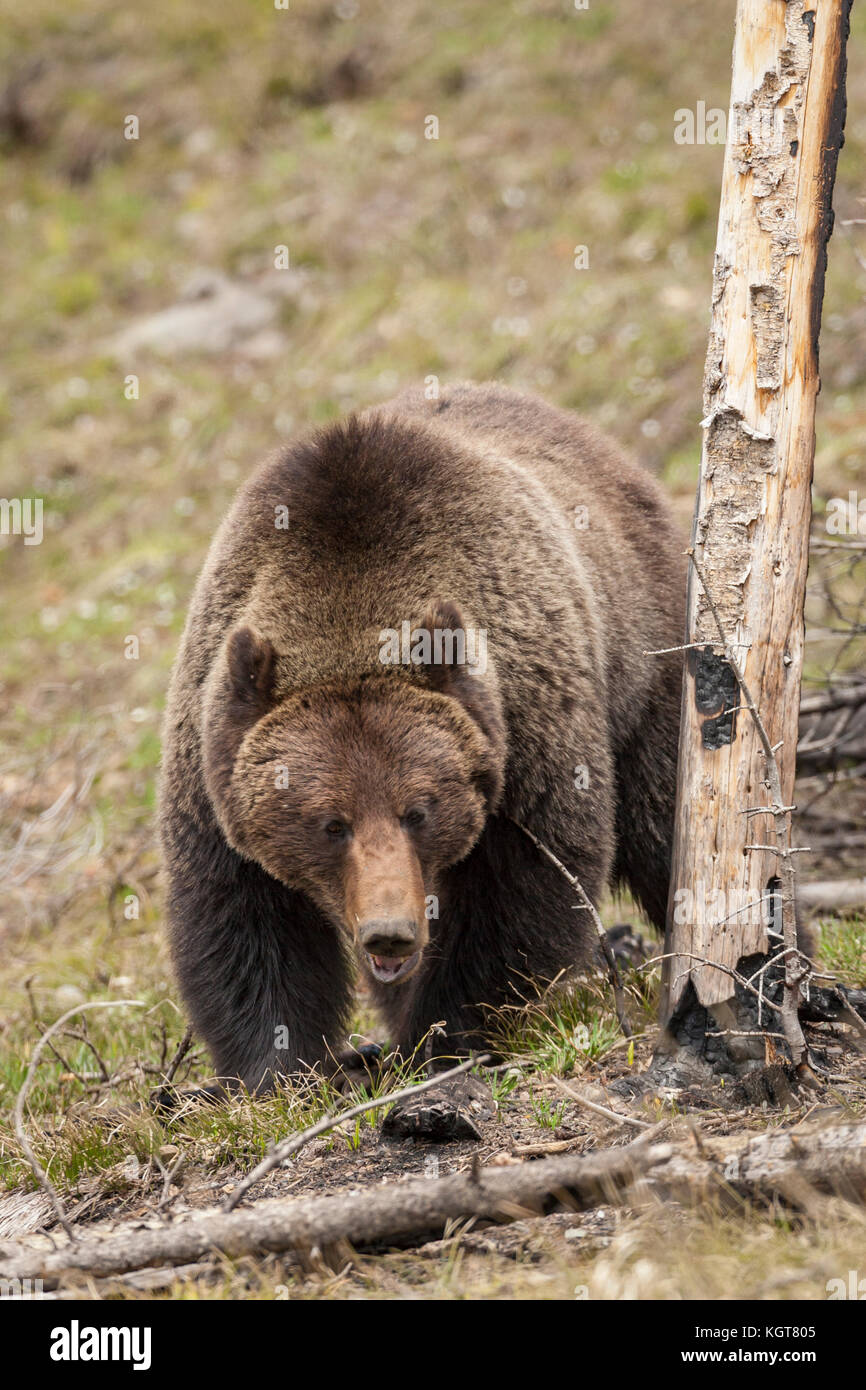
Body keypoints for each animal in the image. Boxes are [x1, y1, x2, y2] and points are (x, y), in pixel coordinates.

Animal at [159, 382, 686, 1094]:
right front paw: (277, 1070)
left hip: (645, 658)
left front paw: (438, 1039)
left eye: (418, 811)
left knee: (665, 817)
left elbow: (517, 897)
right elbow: (245, 922)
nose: (390, 934)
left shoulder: (524, 732)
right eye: (331, 824)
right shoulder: (214, 763)